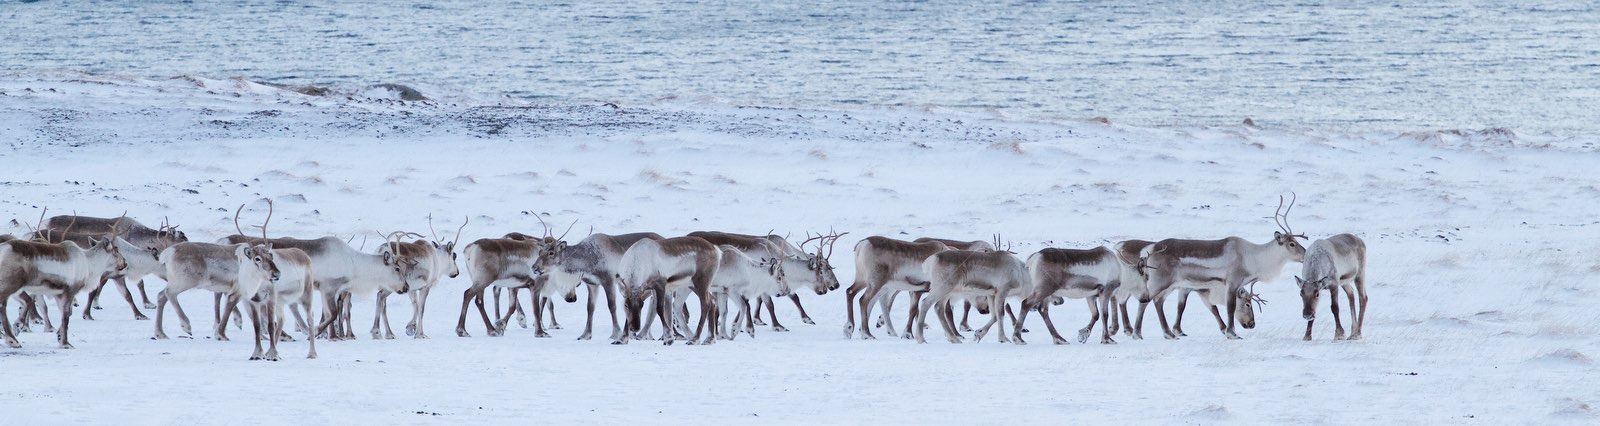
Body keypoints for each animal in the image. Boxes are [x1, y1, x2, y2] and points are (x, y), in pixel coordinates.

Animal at [1141, 195, 1307, 340]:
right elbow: (1230, 307)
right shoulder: (1231, 282)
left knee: (1156, 301)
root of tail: (1150, 248)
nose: (1306, 253)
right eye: (1292, 244)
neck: (1254, 258)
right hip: (1161, 281)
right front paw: (1232, 333)